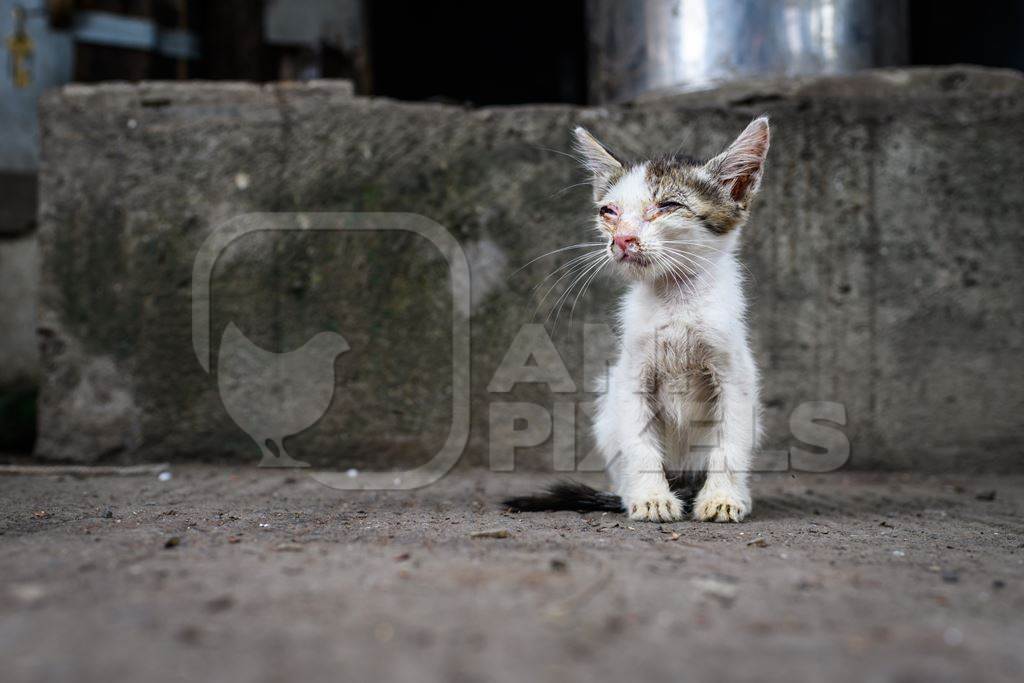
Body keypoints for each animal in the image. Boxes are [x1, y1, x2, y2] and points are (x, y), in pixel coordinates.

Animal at [503, 117, 770, 524]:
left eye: (668, 205)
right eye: (608, 212)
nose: (623, 239)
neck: (676, 303)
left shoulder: (735, 374)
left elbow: (730, 440)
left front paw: (722, 498)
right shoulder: (632, 375)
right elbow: (640, 443)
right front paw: (651, 498)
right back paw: (632, 494)